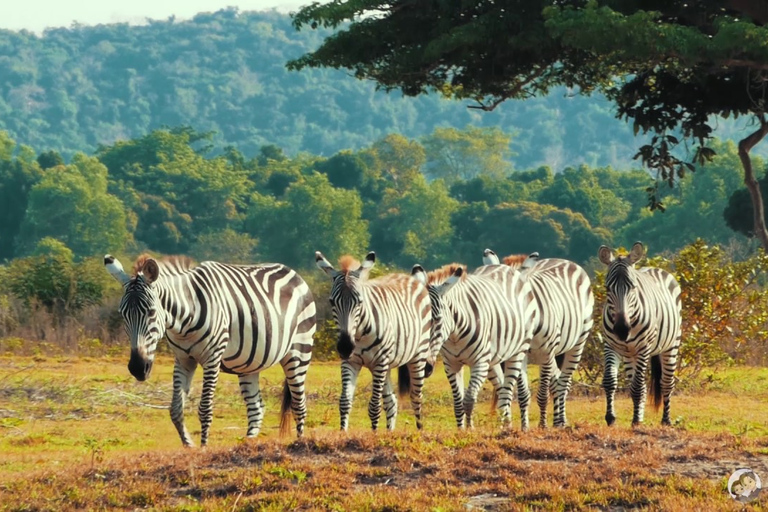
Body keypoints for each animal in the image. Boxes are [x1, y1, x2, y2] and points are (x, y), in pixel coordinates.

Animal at [104, 254, 316, 446]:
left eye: (151, 312)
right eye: (123, 314)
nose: (138, 368)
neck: (184, 321)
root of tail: (293, 273)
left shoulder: (212, 358)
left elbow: (205, 409)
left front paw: (204, 449)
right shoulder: (183, 359)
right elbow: (176, 410)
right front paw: (189, 447)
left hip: (299, 351)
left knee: (299, 404)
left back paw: (300, 442)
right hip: (249, 364)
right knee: (256, 408)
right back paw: (246, 445)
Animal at [314, 252, 432, 432]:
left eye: (359, 301)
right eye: (331, 302)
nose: (345, 347)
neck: (359, 335)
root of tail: (410, 278)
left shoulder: (380, 362)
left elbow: (375, 406)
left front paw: (374, 434)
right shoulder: (350, 362)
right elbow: (345, 402)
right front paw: (343, 432)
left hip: (417, 355)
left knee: (416, 397)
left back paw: (420, 430)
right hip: (388, 364)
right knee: (391, 402)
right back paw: (389, 432)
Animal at [408, 264, 536, 428]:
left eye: (437, 319)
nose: (424, 367)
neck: (454, 336)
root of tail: (505, 267)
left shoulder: (480, 363)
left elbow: (468, 401)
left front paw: (470, 429)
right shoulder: (451, 364)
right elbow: (458, 403)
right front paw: (461, 430)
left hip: (518, 351)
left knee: (511, 394)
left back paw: (514, 428)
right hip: (493, 360)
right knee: (501, 389)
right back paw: (507, 426)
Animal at [484, 250, 596, 426]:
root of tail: (563, 260)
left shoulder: (546, 351)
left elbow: (543, 393)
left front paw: (542, 426)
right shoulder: (521, 354)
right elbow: (523, 394)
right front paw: (524, 427)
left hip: (577, 343)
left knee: (563, 384)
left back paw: (561, 422)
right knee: (556, 382)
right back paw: (557, 421)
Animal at [596, 242, 680, 426]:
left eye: (633, 287)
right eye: (607, 288)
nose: (622, 330)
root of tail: (656, 268)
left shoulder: (644, 348)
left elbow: (637, 386)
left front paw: (635, 421)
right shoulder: (610, 346)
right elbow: (610, 381)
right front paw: (611, 418)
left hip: (671, 345)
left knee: (666, 383)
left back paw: (666, 420)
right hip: (629, 354)